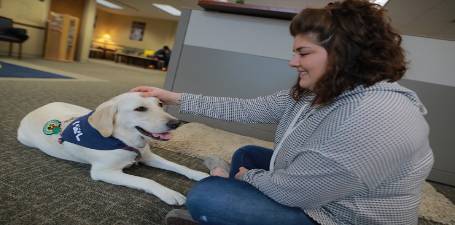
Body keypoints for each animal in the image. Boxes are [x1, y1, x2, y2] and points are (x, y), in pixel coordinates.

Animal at [17, 92, 210, 206]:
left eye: (160, 104)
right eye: (140, 108)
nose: (176, 123)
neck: (124, 141)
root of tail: (37, 108)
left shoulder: (148, 156)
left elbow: (179, 166)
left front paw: (200, 175)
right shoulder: (104, 172)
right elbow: (147, 181)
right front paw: (169, 193)